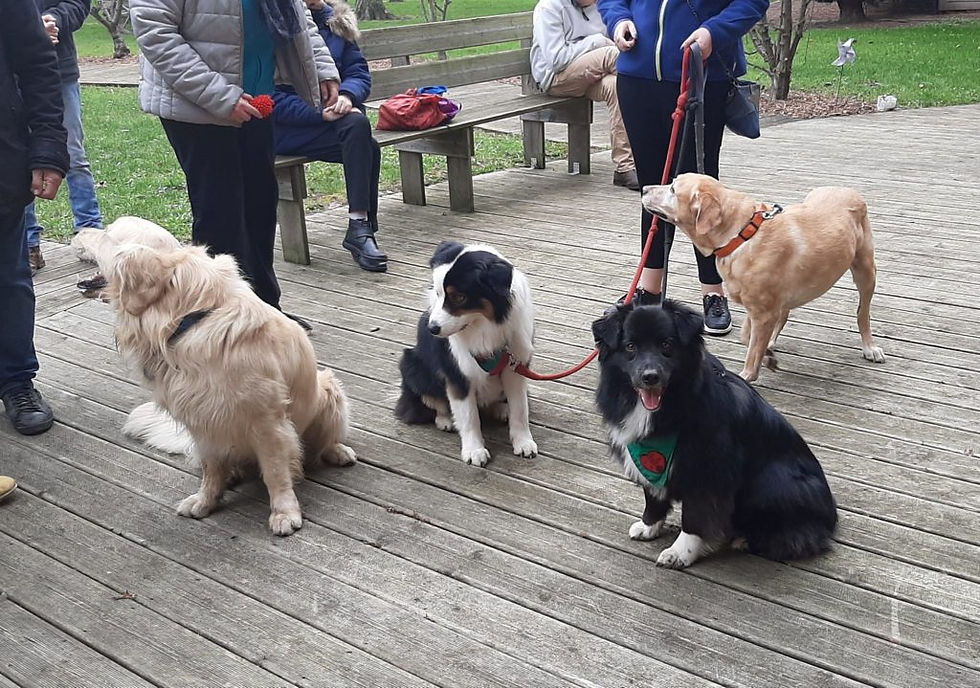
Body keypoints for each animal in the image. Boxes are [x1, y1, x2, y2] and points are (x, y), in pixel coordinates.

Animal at [97, 234, 355, 536]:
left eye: (108, 236)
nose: (83, 234)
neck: (193, 316)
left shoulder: (267, 421)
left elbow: (276, 472)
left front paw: (284, 512)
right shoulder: (202, 420)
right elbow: (212, 469)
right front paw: (205, 501)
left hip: (329, 389)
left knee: (322, 443)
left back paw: (338, 451)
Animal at [395, 241, 537, 467]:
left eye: (459, 297)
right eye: (438, 293)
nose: (432, 329)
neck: (486, 326)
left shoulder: (515, 366)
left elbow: (520, 408)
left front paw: (523, 442)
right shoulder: (457, 373)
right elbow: (470, 417)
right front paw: (474, 451)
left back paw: (500, 409)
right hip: (411, 364)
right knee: (434, 402)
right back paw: (446, 420)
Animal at [592, 299, 838, 569]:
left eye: (666, 345)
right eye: (630, 346)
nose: (650, 377)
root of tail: (831, 516)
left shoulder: (708, 471)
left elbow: (695, 517)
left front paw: (680, 553)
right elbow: (652, 496)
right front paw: (649, 526)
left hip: (775, 478)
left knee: (800, 536)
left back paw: (745, 538)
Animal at [641, 173, 885, 381]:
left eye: (673, 189)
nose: (643, 188)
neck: (741, 235)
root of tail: (849, 190)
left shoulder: (763, 312)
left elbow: (751, 355)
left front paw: (750, 373)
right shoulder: (758, 308)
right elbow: (747, 337)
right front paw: (767, 355)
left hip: (866, 271)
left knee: (862, 313)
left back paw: (870, 347)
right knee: (784, 316)